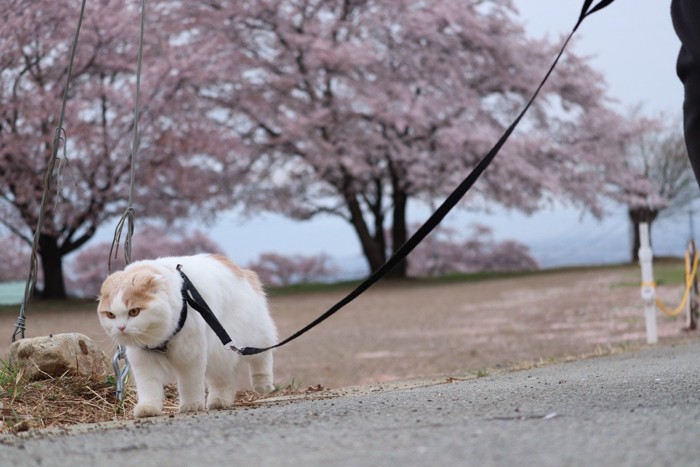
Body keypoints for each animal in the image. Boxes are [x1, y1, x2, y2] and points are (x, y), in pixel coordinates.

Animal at [97, 254, 278, 418]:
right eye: (110, 315)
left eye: (134, 312)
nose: (121, 328)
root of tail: (239, 269)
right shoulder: (144, 360)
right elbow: (148, 387)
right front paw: (148, 408)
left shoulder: (190, 356)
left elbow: (189, 384)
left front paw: (192, 405)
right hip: (218, 355)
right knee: (224, 379)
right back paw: (219, 402)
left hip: (252, 334)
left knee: (262, 357)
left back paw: (263, 385)